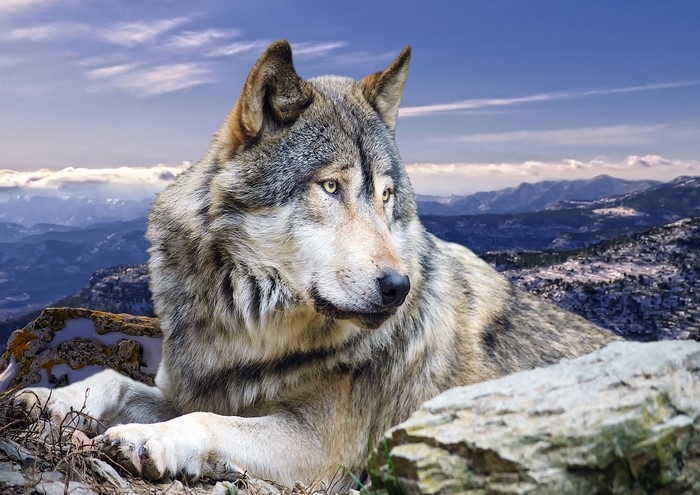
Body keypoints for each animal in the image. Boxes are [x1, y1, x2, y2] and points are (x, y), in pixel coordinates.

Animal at [14, 40, 616, 490]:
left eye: (387, 197)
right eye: (331, 187)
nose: (398, 286)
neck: (248, 331)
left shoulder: (320, 449)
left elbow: (208, 421)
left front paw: (148, 441)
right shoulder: (190, 388)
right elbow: (115, 379)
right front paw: (48, 399)